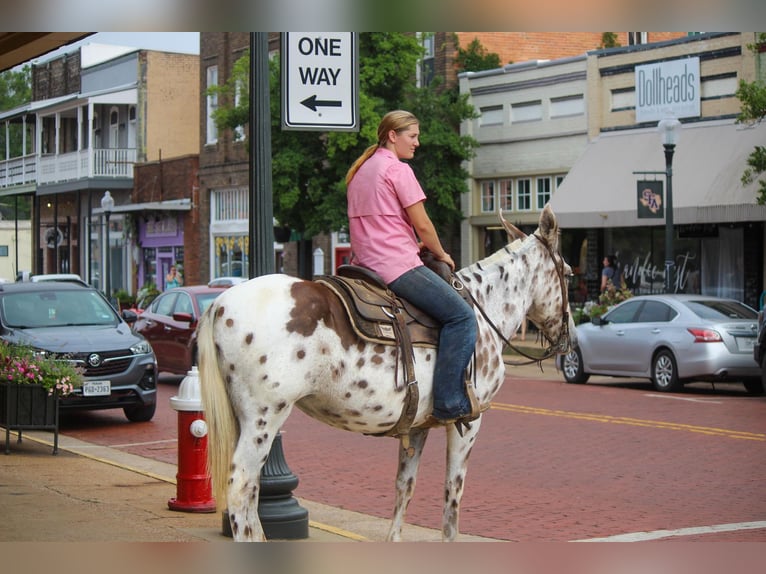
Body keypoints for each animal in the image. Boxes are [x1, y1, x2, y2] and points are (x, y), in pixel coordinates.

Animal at [198, 205, 576, 544]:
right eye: (570, 274)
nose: (570, 338)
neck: (484, 311)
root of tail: (220, 304)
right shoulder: (469, 421)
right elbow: (452, 499)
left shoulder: (419, 425)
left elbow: (404, 489)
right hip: (263, 418)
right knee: (241, 489)